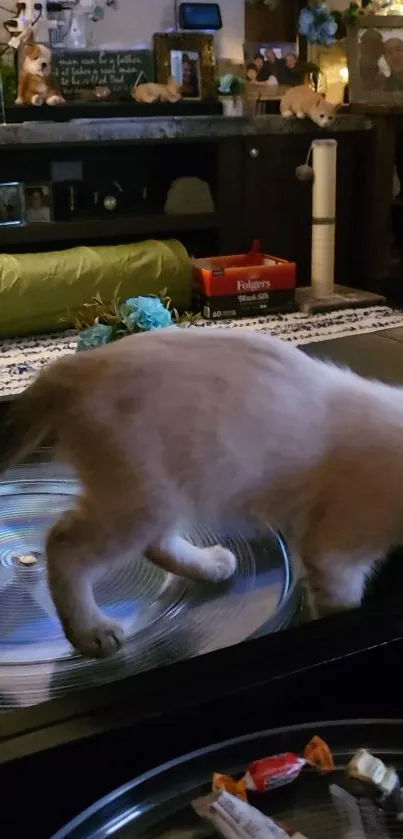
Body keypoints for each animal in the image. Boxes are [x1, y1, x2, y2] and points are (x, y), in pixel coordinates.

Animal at [0, 326, 400, 656]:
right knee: (63, 546)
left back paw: (211, 565)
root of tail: (74, 364)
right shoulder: (335, 554)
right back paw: (90, 631)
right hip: (144, 500)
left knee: (156, 545)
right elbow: (342, 607)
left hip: (170, 491)